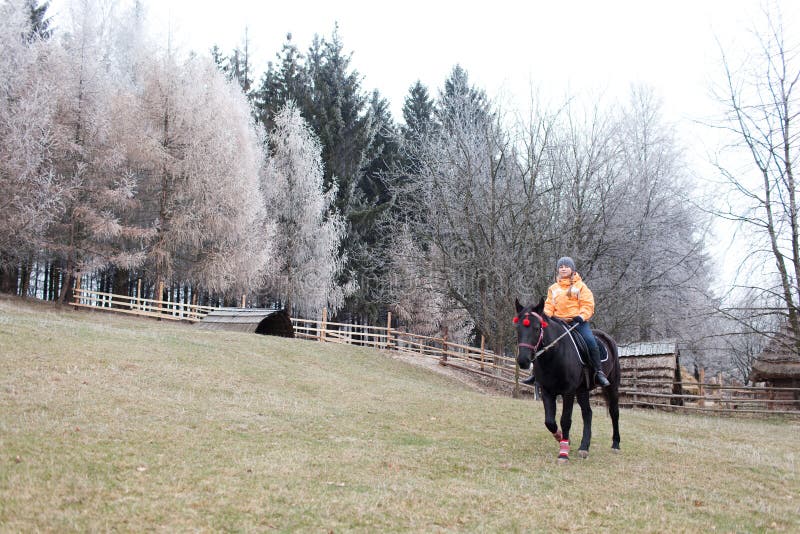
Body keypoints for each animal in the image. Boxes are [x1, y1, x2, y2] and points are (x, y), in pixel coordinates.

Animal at [516, 300, 620, 462]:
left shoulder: (568, 392)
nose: (523, 360)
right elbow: (549, 421)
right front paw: (562, 439)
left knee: (614, 412)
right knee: (587, 413)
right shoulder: (546, 391)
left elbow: (565, 420)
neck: (554, 355)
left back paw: (615, 444)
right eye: (518, 328)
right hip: (582, 390)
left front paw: (563, 453)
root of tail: (608, 339)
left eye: (537, 328)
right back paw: (584, 447)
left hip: (612, 385)